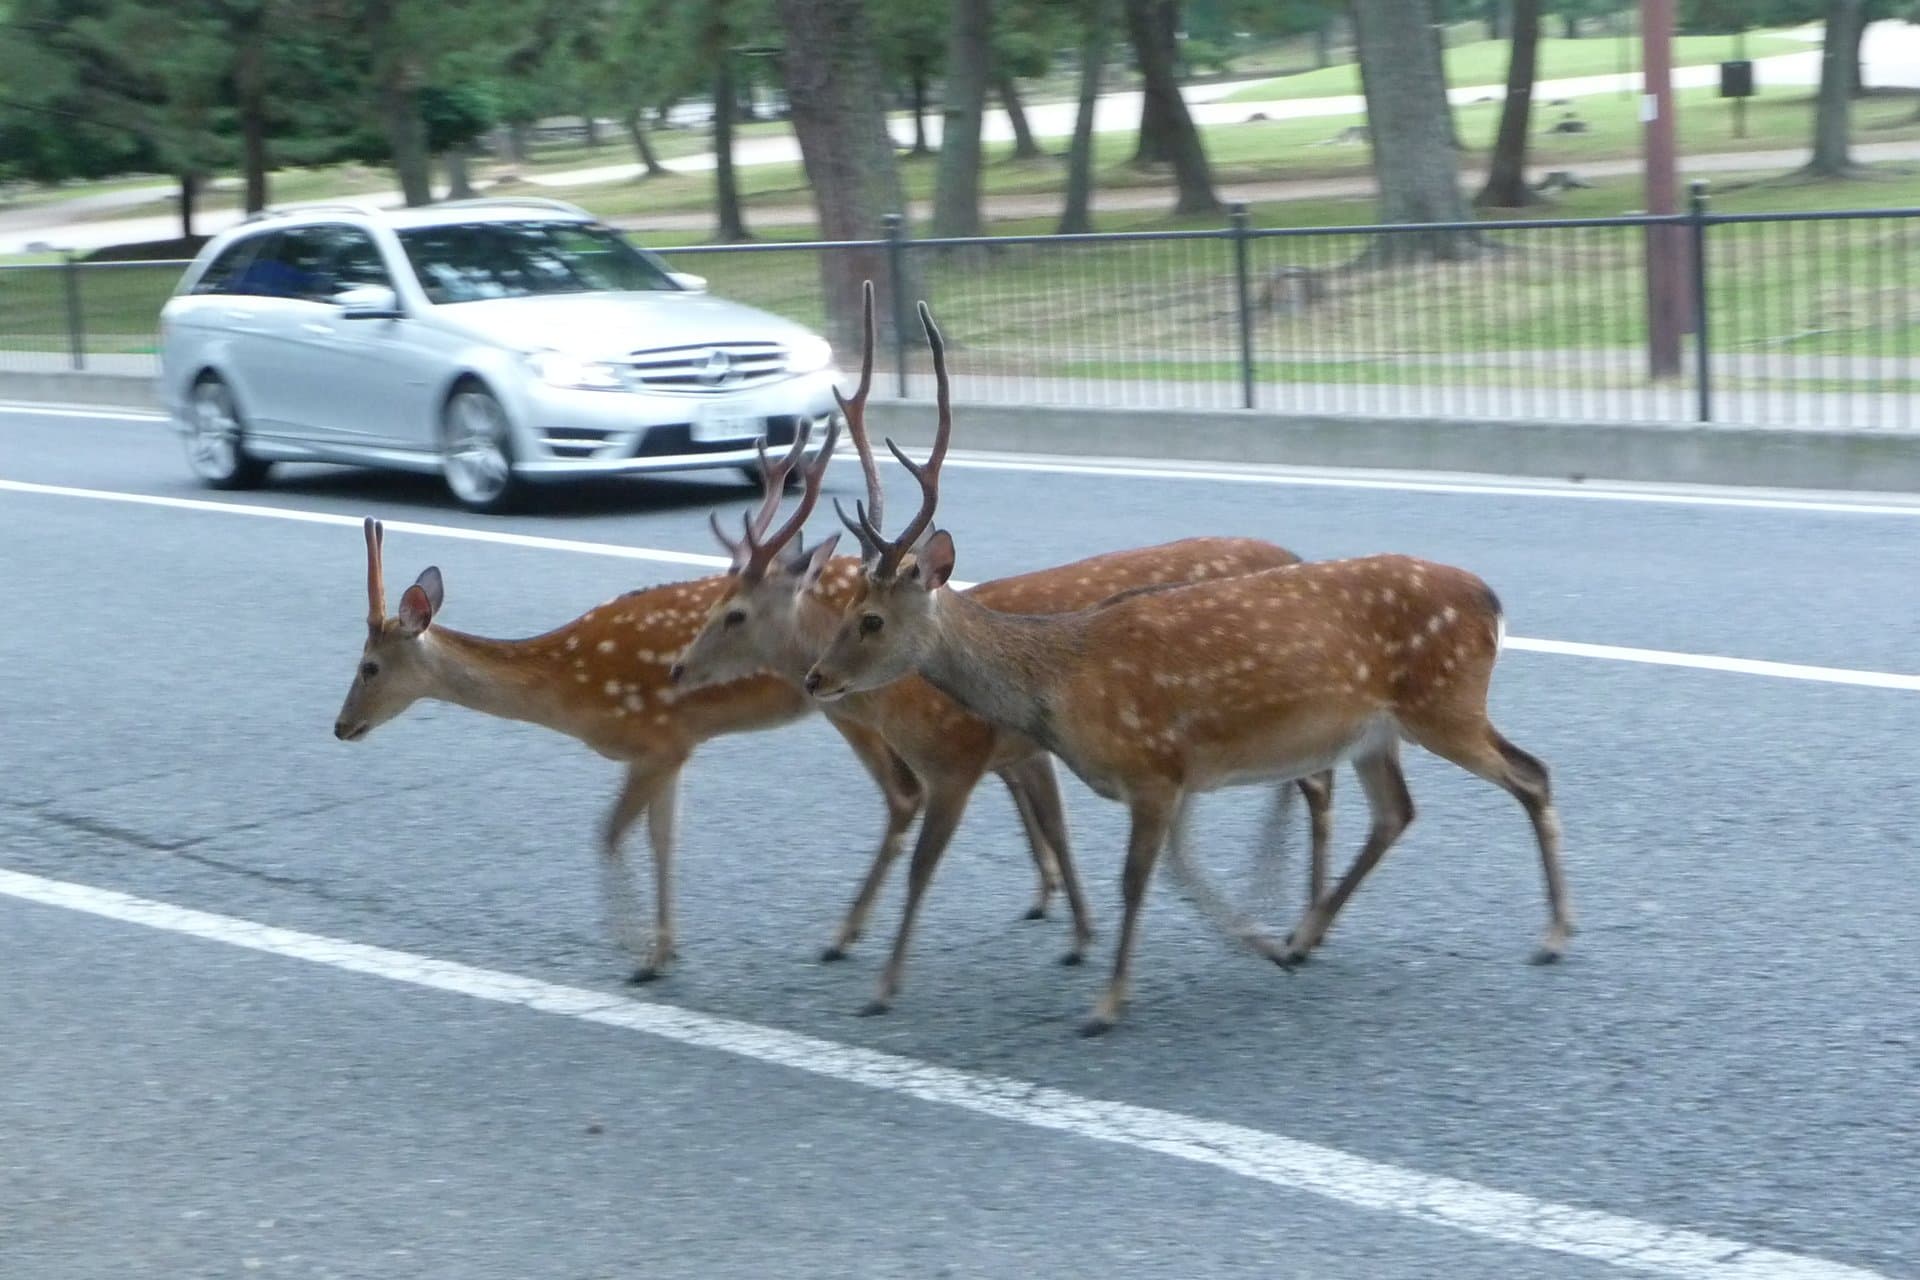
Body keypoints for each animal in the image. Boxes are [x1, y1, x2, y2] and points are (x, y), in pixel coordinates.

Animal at [330, 428, 1082, 985]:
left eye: (368, 666)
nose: (340, 726)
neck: (568, 688)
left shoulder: (655, 738)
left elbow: (610, 834)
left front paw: (635, 952)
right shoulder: (674, 749)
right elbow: (664, 839)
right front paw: (666, 948)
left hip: (851, 706)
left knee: (909, 792)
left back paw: (852, 934)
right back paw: (1042, 894)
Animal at [666, 284, 1334, 1016]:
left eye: (734, 613)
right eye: (714, 602)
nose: (677, 666)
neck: (899, 705)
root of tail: (1294, 555)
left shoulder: (966, 757)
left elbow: (941, 852)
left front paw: (871, 967)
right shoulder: (1021, 751)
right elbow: (1048, 826)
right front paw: (1071, 928)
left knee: (1317, 779)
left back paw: (1303, 922)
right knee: (1306, 777)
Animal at [802, 299, 1573, 1036]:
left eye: (871, 620)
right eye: (846, 610)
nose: (814, 678)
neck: (1059, 687)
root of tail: (1490, 601)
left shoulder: (1151, 766)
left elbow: (1136, 880)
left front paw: (1106, 1006)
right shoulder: (1181, 771)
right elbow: (1180, 869)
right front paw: (1257, 944)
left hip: (1444, 700)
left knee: (1530, 773)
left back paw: (1554, 935)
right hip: (1375, 730)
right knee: (1397, 812)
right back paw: (1305, 936)